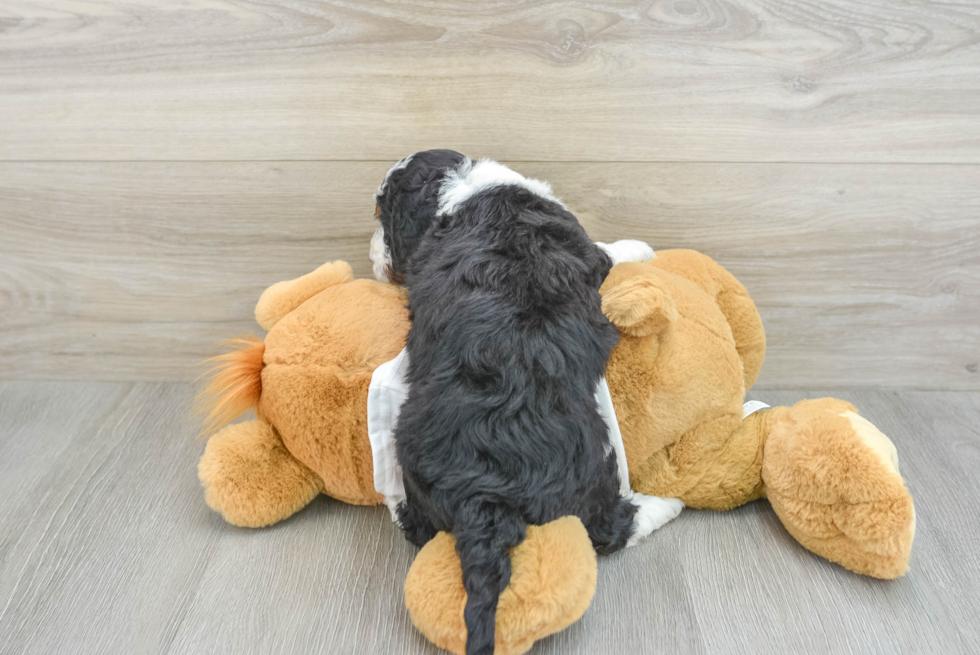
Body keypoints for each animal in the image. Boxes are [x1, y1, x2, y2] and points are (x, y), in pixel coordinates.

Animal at [372, 150, 676, 655]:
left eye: (381, 215)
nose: (373, 256)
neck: (461, 189)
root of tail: (484, 493)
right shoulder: (588, 250)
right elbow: (612, 250)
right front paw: (643, 246)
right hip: (596, 459)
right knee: (609, 528)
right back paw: (666, 505)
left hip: (411, 449)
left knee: (416, 526)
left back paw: (396, 502)